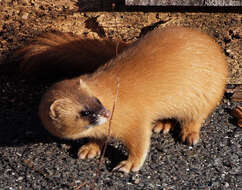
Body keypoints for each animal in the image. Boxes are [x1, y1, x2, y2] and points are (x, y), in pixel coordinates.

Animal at [37, 26, 227, 173]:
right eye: (84, 112)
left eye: (97, 100)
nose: (106, 113)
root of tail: (214, 46)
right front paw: (89, 148)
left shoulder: (136, 119)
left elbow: (139, 143)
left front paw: (128, 165)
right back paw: (163, 124)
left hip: (205, 95)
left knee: (196, 118)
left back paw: (189, 134)